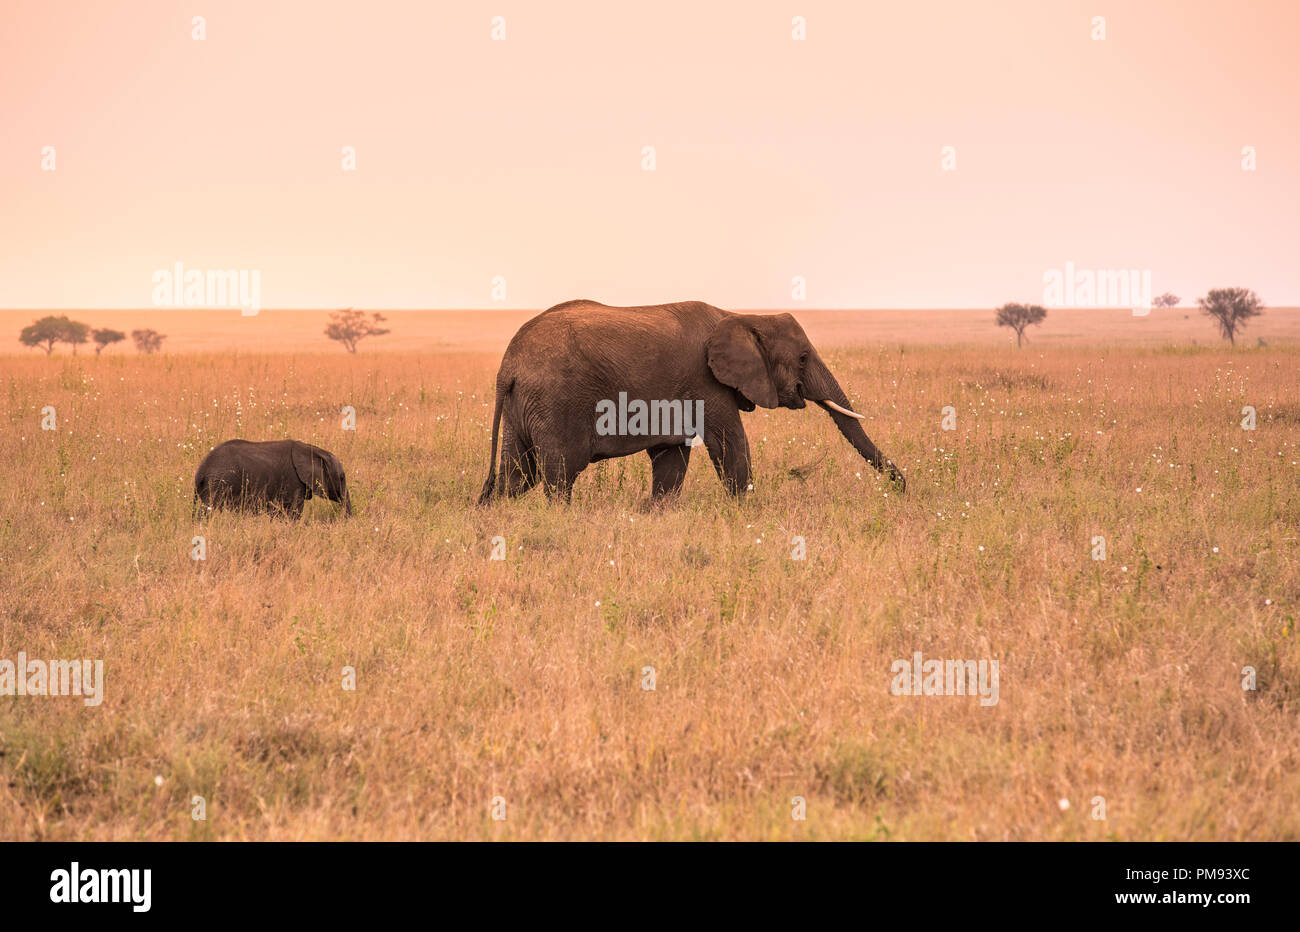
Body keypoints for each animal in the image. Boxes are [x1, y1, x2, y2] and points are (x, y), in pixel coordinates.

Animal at [194, 439, 352, 518]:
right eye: (342, 478)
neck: (312, 449)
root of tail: (200, 471)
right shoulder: (293, 480)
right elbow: (294, 510)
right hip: (220, 483)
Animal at [477, 299, 905, 504]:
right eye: (802, 358)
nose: (902, 488)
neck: (740, 316)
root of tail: (507, 366)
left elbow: (672, 459)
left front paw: (654, 513)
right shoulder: (706, 383)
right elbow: (731, 445)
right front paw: (745, 512)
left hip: (523, 406)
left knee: (518, 476)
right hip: (554, 403)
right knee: (559, 475)